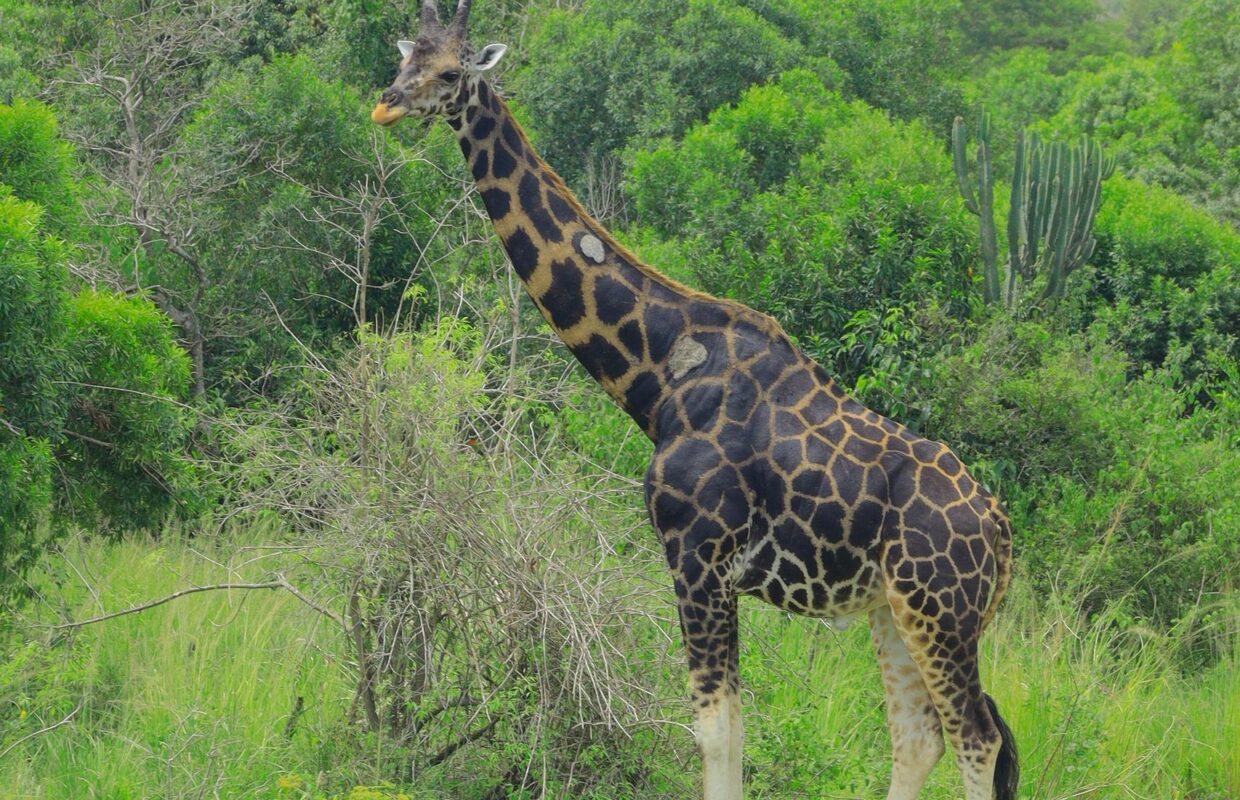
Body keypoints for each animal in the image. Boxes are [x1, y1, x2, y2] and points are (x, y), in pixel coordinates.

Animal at [371, 3, 1019, 799]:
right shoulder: (710, 566)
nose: (386, 104)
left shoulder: (697, 553)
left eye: (450, 73)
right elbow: (730, 728)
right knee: (918, 736)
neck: (663, 375)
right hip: (893, 610)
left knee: (977, 740)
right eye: (406, 59)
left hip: (941, 611)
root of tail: (1002, 532)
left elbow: (715, 729)